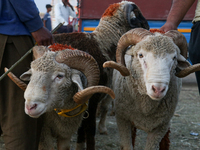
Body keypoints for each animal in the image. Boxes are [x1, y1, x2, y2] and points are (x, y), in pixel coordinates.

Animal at [52, 1, 149, 149]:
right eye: (137, 16)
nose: (148, 26)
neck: (102, 44)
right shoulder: (91, 97)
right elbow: (90, 129)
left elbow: (82, 128)